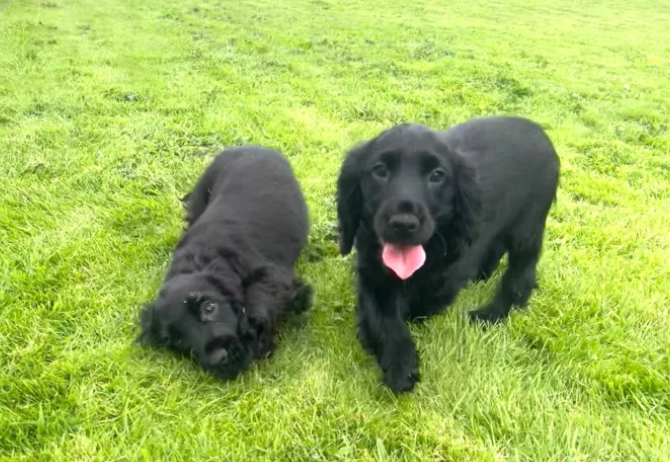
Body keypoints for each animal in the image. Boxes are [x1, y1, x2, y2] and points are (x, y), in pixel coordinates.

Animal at [140, 146, 314, 380]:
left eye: (209, 308)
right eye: (177, 339)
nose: (219, 359)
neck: (204, 257)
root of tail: (249, 146)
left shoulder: (272, 273)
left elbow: (262, 294)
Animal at [336, 117, 560, 392]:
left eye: (437, 175)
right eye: (380, 170)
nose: (403, 223)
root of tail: (538, 130)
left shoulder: (450, 269)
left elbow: (427, 299)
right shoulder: (372, 274)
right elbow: (382, 317)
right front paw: (400, 364)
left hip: (527, 228)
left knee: (522, 276)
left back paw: (489, 315)